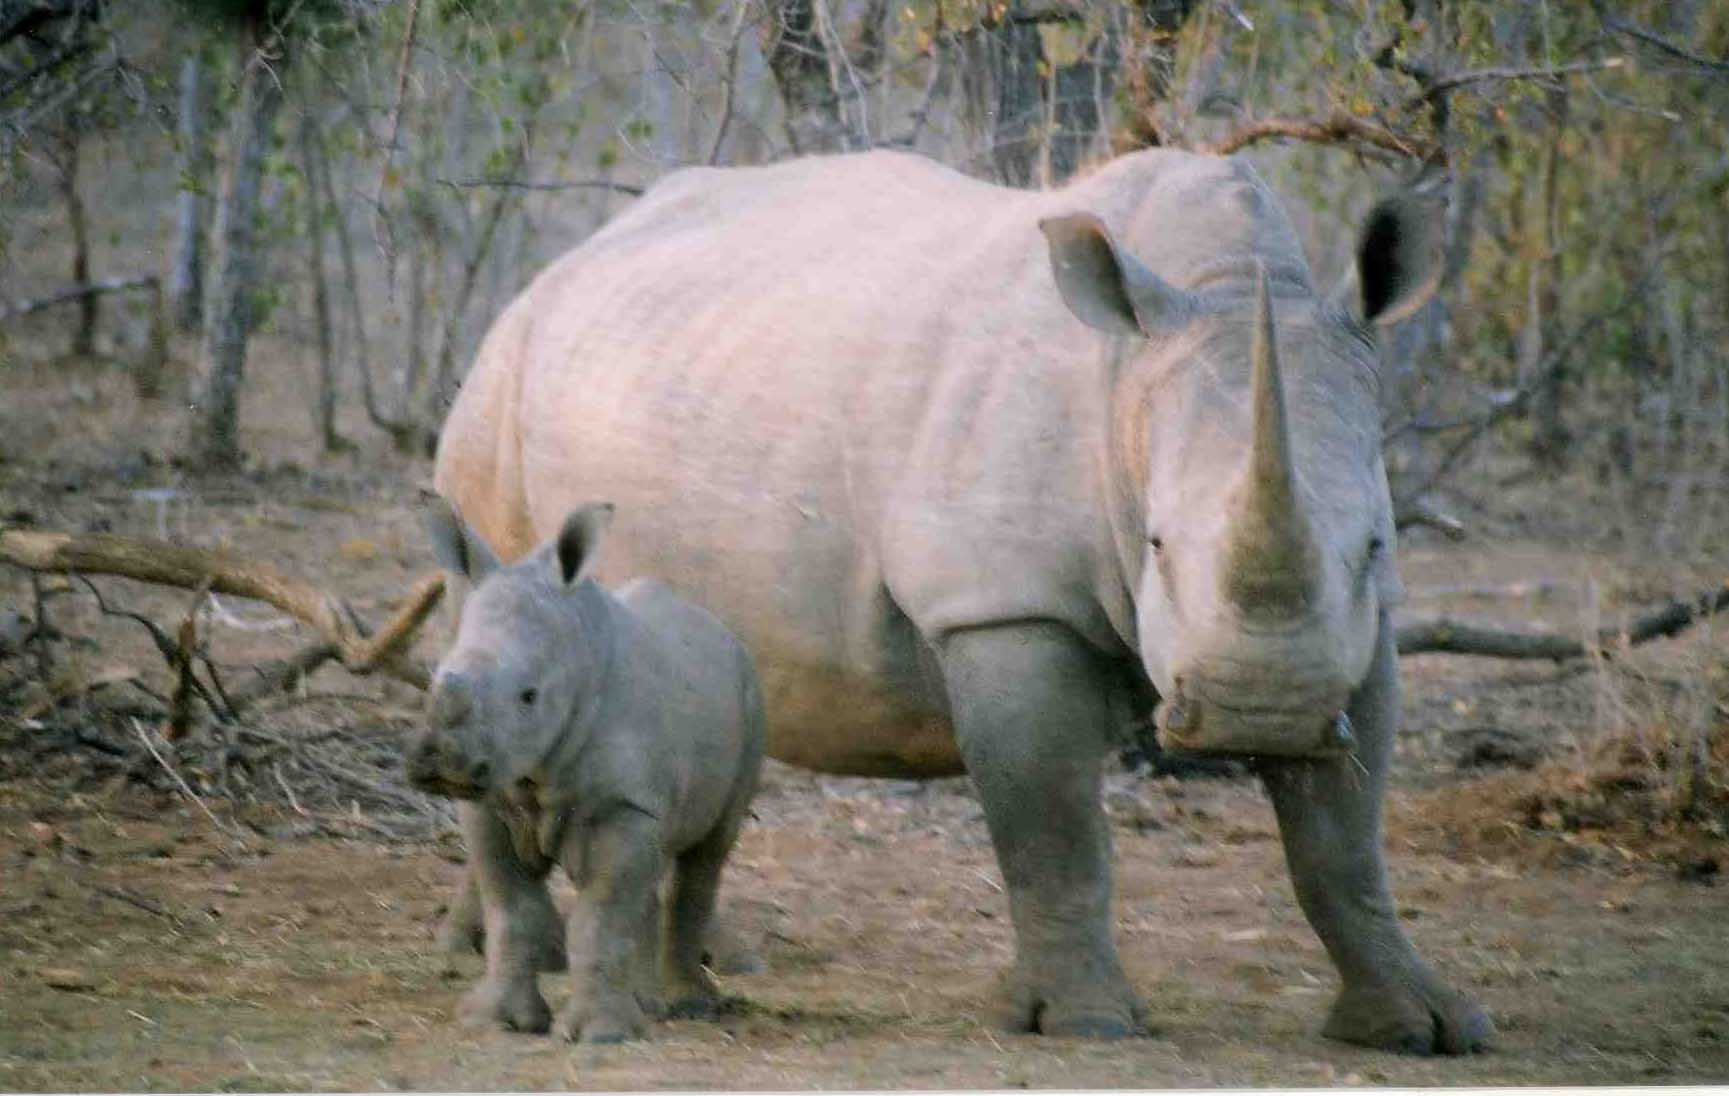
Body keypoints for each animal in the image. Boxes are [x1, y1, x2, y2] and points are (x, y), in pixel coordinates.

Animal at [408, 500, 765, 1043]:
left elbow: (599, 919)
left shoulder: (623, 803)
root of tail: (720, 629)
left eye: (529, 696)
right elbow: (511, 910)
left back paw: (686, 1006)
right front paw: (497, 1020)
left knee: (705, 857)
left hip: (750, 696)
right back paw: (648, 1005)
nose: (441, 763)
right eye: (434, 677)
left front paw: (601, 1034)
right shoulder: (489, 801)